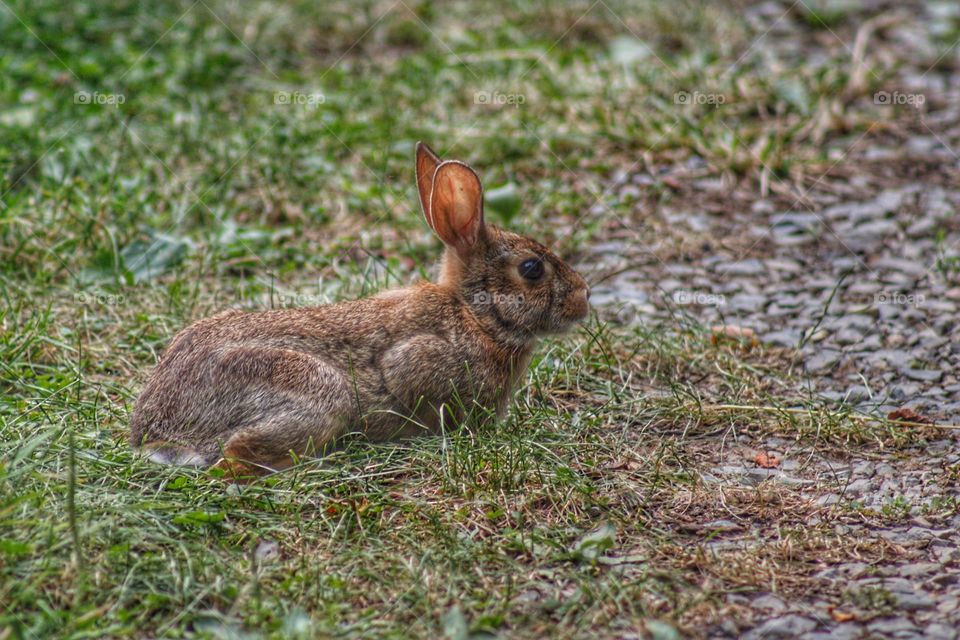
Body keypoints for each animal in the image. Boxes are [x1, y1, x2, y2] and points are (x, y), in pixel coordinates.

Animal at [129, 142, 590, 477]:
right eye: (532, 269)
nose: (584, 298)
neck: (475, 317)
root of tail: (156, 431)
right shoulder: (418, 359)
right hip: (318, 392)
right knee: (234, 455)